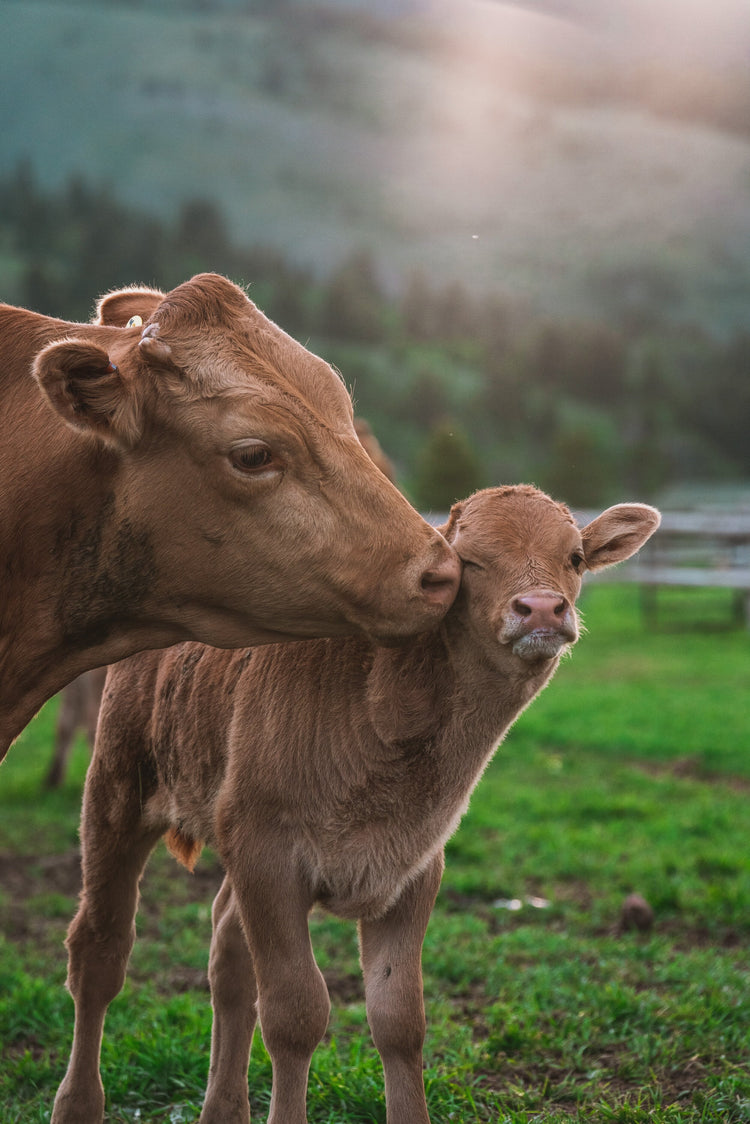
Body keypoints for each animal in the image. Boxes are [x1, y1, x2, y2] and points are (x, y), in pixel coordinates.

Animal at [52, 485, 661, 1124]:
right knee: (99, 951)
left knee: (228, 954)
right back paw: (77, 1102)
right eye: (469, 562)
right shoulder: (269, 856)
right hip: (118, 787)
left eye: (574, 557)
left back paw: (222, 1107)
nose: (541, 609)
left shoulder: (413, 865)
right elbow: (295, 1013)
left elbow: (399, 1019)